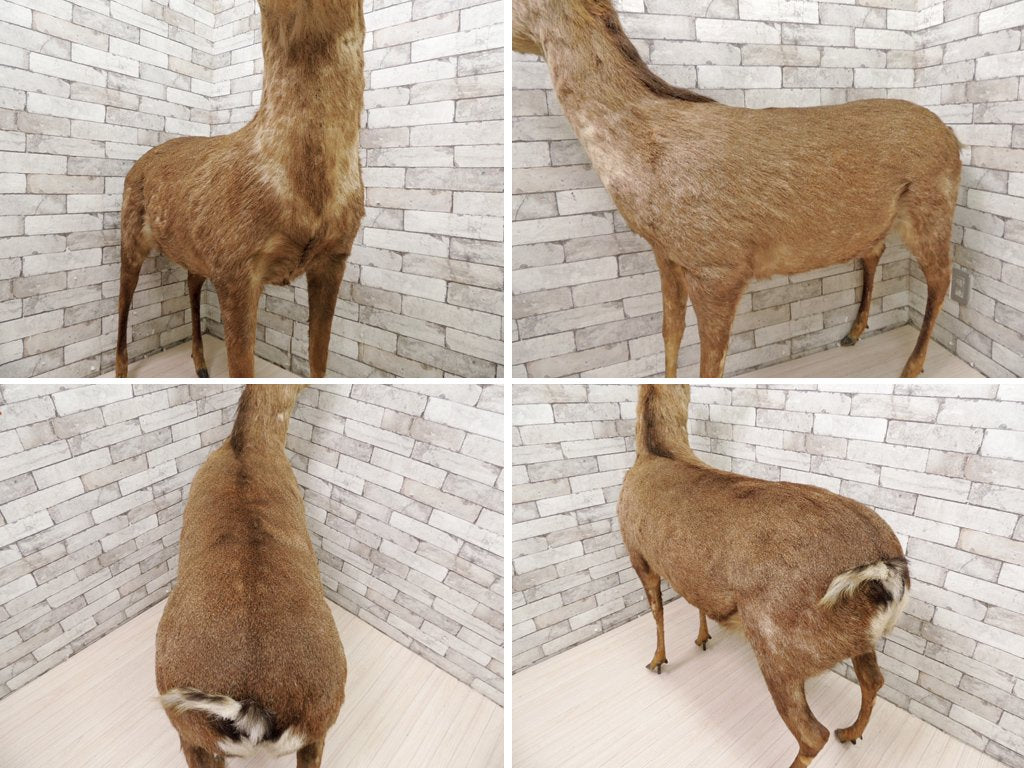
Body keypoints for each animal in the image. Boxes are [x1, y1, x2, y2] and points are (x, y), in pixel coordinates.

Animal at [117, 0, 365, 378]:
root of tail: (140, 162)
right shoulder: (235, 268)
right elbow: (243, 371)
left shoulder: (335, 257)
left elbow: (318, 365)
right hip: (131, 233)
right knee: (123, 297)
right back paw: (122, 372)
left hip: (195, 248)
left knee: (190, 282)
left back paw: (201, 365)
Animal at [513, 0, 962, 378]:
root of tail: (954, 140)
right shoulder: (667, 255)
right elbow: (669, 333)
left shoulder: (719, 267)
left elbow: (711, 365)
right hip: (874, 221)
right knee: (874, 252)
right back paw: (853, 332)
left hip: (933, 206)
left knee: (942, 278)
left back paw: (912, 366)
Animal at [618, 385, 910, 768]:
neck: (654, 452)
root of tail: (887, 570)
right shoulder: (689, 572)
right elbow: (696, 601)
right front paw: (702, 638)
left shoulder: (636, 551)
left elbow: (657, 611)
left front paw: (657, 661)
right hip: (856, 641)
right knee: (873, 680)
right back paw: (849, 733)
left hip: (777, 644)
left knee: (813, 733)